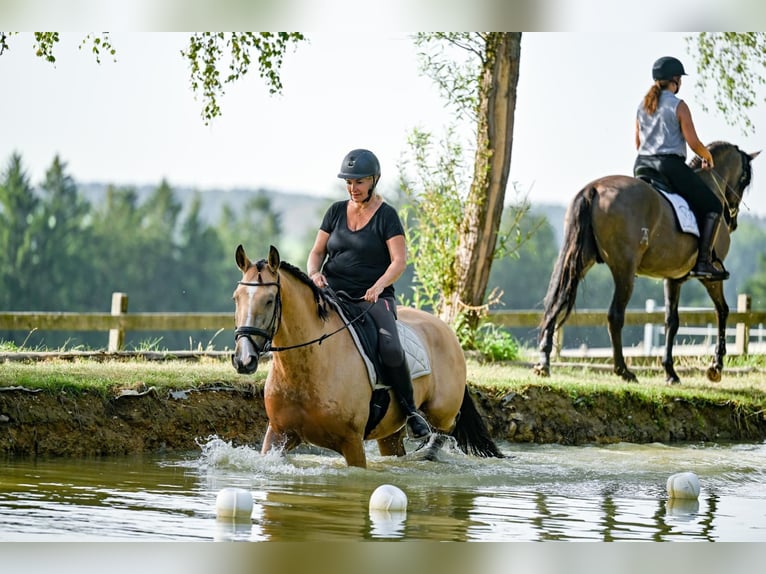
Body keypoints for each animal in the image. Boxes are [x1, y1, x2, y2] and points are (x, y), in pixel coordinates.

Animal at [230, 243, 504, 468]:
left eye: (269, 300)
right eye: (236, 298)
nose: (244, 360)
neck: (309, 365)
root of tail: (446, 330)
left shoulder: (352, 442)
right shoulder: (278, 434)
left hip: (442, 412)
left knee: (445, 430)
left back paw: (431, 451)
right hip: (390, 433)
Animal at [536, 143, 760, 388]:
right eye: (745, 178)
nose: (732, 221)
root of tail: (593, 188)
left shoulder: (673, 278)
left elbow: (671, 321)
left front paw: (670, 372)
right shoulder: (710, 277)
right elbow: (722, 311)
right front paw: (716, 367)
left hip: (580, 261)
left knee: (556, 302)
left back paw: (544, 363)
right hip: (624, 269)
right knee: (614, 316)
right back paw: (623, 371)